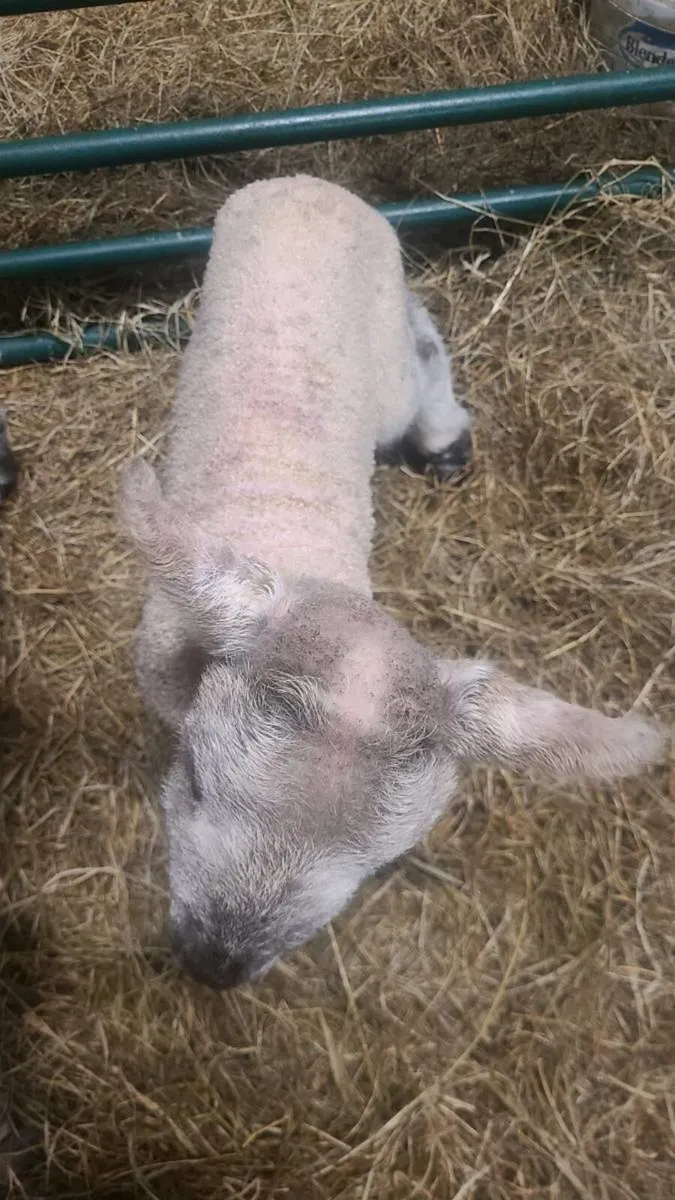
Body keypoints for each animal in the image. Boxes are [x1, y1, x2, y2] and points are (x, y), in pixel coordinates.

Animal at [120, 174, 667, 991]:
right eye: (193, 781)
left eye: (381, 864)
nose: (216, 965)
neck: (297, 545)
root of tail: (308, 182)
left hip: (381, 355)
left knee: (419, 343)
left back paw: (442, 437)